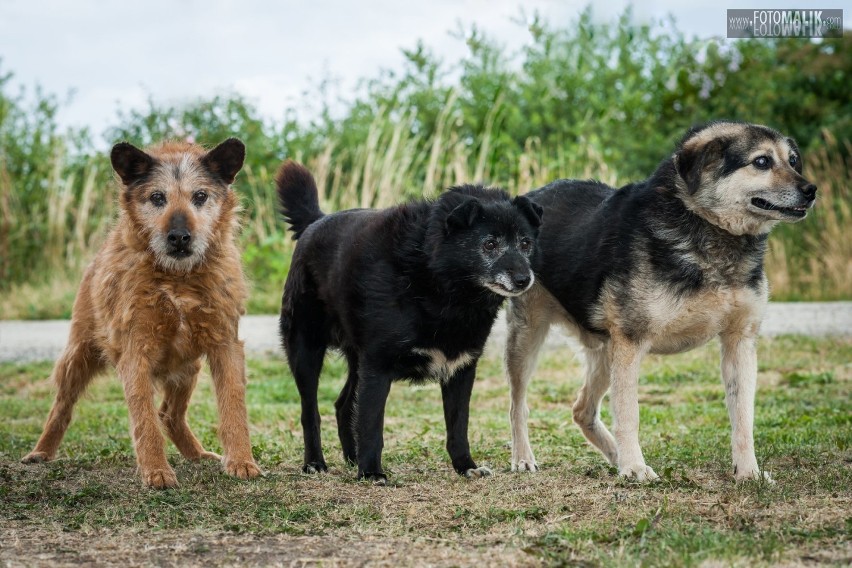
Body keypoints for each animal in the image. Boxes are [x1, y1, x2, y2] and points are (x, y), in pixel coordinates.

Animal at [24, 136, 262, 488]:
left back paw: (196, 454)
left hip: (188, 367)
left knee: (170, 414)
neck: (177, 279)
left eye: (200, 196)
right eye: (157, 197)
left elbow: (233, 408)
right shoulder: (136, 353)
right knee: (62, 408)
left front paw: (242, 461)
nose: (179, 237)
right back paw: (41, 451)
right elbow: (144, 420)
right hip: (78, 357)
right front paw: (156, 471)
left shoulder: (225, 346)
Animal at [276, 161, 544, 484]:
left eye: (525, 243)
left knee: (343, 405)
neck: (438, 282)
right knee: (311, 412)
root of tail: (316, 221)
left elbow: (458, 427)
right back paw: (316, 462)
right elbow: (371, 425)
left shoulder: (461, 369)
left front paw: (465, 465)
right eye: (490, 244)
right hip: (306, 350)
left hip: (357, 360)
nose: (524, 279)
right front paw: (371, 472)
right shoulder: (378, 367)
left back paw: (351, 459)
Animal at [506, 122, 820, 482]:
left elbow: (743, 418)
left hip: (604, 353)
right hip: (529, 338)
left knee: (582, 410)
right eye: (762, 162)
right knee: (518, 404)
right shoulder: (630, 343)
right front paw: (634, 467)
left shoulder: (740, 342)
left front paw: (748, 472)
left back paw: (614, 455)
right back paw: (524, 457)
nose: (811, 190)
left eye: (793, 160)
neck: (705, 224)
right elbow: (629, 413)